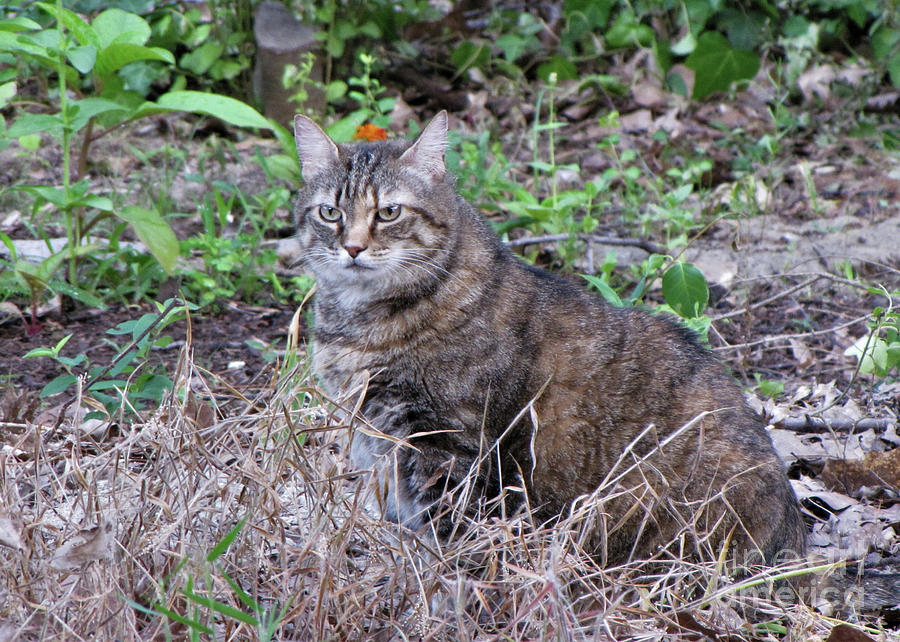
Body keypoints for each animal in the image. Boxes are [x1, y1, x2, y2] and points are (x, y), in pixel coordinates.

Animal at [292, 112, 804, 568]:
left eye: (389, 212)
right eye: (330, 213)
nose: (352, 248)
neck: (360, 322)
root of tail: (790, 529)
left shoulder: (449, 445)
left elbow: (450, 542)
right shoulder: (377, 443)